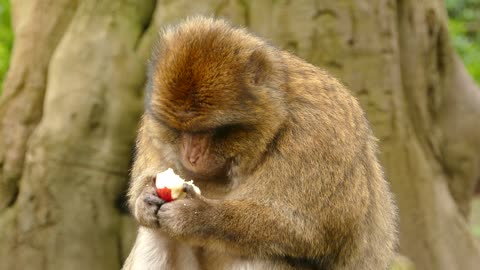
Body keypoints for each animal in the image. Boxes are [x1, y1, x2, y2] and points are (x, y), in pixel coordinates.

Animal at [124, 16, 398, 270]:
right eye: (178, 130)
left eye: (209, 131)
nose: (191, 156)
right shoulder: (151, 128)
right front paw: (145, 200)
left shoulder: (318, 133)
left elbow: (312, 232)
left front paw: (196, 216)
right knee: (155, 232)